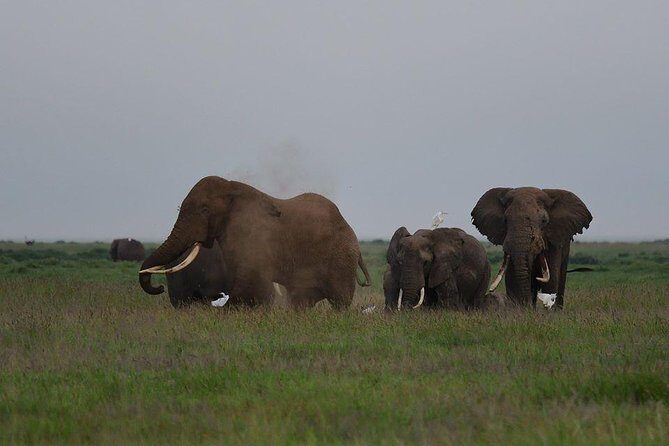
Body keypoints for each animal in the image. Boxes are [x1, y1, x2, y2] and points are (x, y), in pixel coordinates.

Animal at [138, 176, 371, 310]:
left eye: (204, 210)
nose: (158, 287)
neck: (232, 188)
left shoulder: (253, 236)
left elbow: (251, 285)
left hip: (342, 258)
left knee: (340, 302)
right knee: (300, 301)